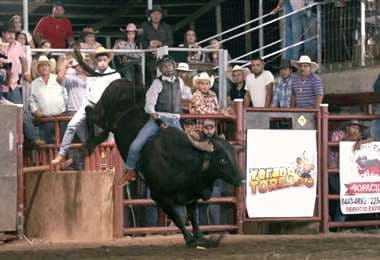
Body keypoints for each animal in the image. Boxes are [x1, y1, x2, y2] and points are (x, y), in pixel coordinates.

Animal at [84, 79, 242, 248]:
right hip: (102, 115)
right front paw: (190, 239)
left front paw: (201, 238)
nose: (241, 179)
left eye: (233, 155)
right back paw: (88, 144)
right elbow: (178, 218)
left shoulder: (191, 197)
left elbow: (193, 218)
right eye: (222, 160)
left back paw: (97, 139)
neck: (185, 163)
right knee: (89, 111)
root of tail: (120, 82)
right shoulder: (160, 197)